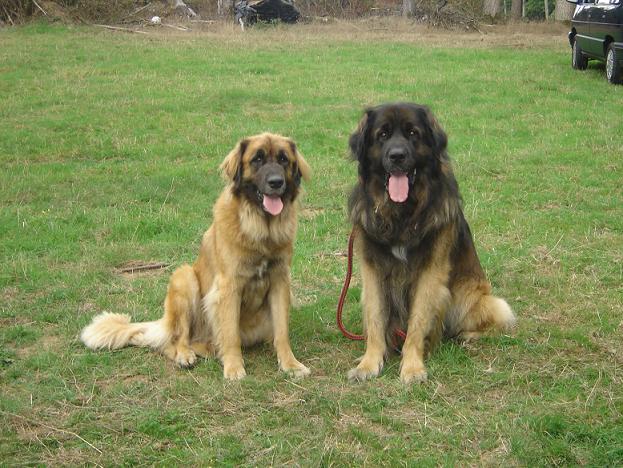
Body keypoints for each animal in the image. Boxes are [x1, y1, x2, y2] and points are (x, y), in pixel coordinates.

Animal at [81, 133, 312, 380]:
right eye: (257, 159)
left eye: (283, 159)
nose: (276, 182)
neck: (259, 229)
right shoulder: (228, 286)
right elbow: (230, 334)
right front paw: (234, 368)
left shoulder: (280, 281)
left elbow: (282, 331)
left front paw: (290, 364)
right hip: (184, 278)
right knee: (175, 340)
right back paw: (185, 355)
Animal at [346, 103, 516, 384]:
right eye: (383, 134)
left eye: (413, 133)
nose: (397, 156)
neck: (402, 215)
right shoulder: (372, 269)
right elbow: (376, 317)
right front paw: (369, 362)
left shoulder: (430, 271)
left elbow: (418, 320)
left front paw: (412, 367)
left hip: (477, 299)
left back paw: (467, 336)